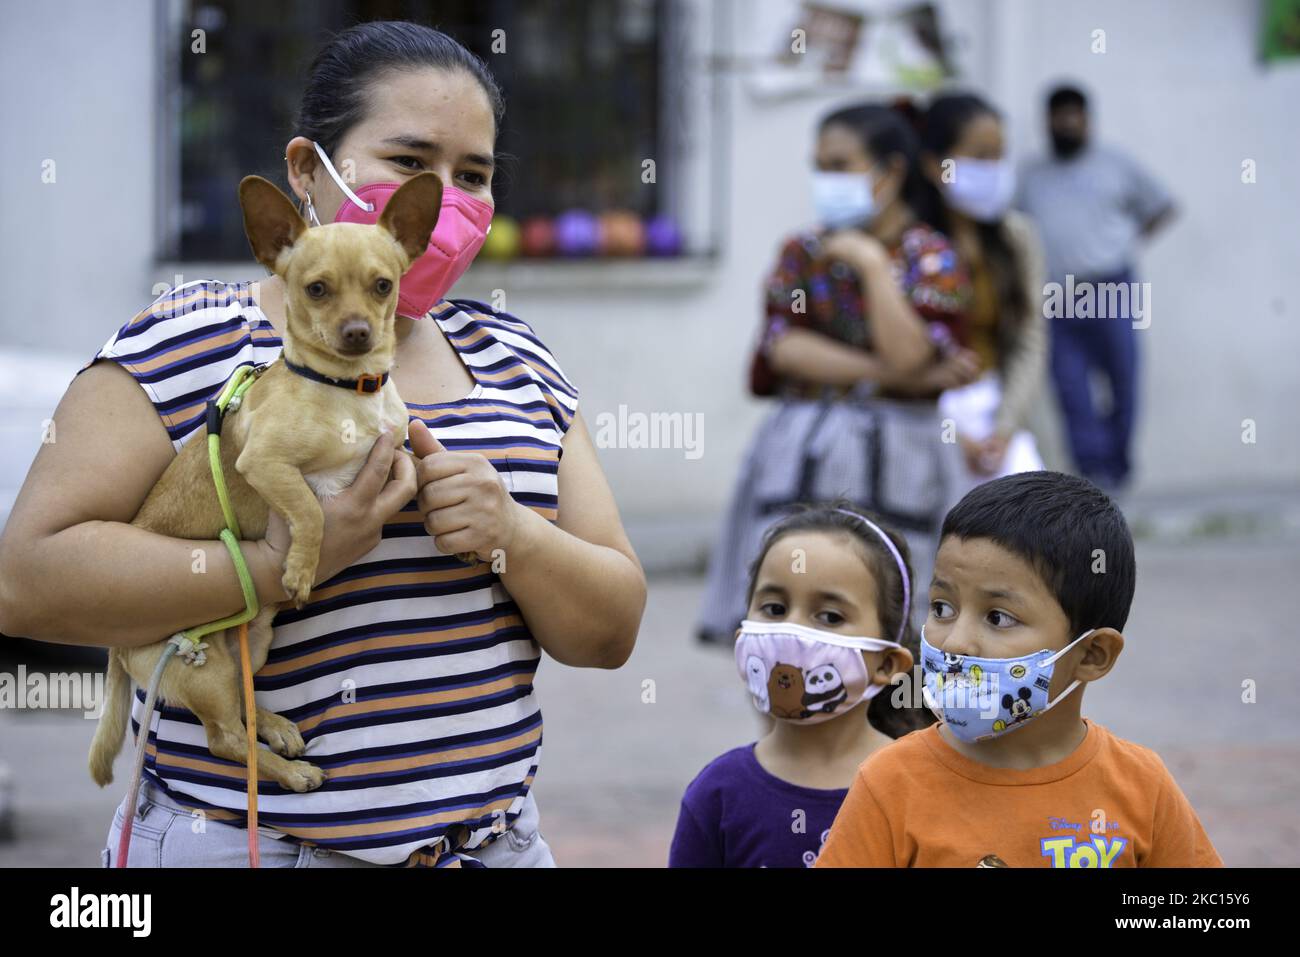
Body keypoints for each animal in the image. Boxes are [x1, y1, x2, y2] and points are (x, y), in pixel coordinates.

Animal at [87, 171, 441, 790]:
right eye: (316, 290)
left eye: (383, 285)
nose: (357, 332)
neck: (347, 389)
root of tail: (118, 643)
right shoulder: (267, 464)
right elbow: (312, 509)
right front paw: (300, 568)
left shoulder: (392, 452)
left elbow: (419, 467)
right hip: (202, 666)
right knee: (225, 739)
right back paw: (289, 772)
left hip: (251, 642)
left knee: (245, 707)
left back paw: (276, 728)